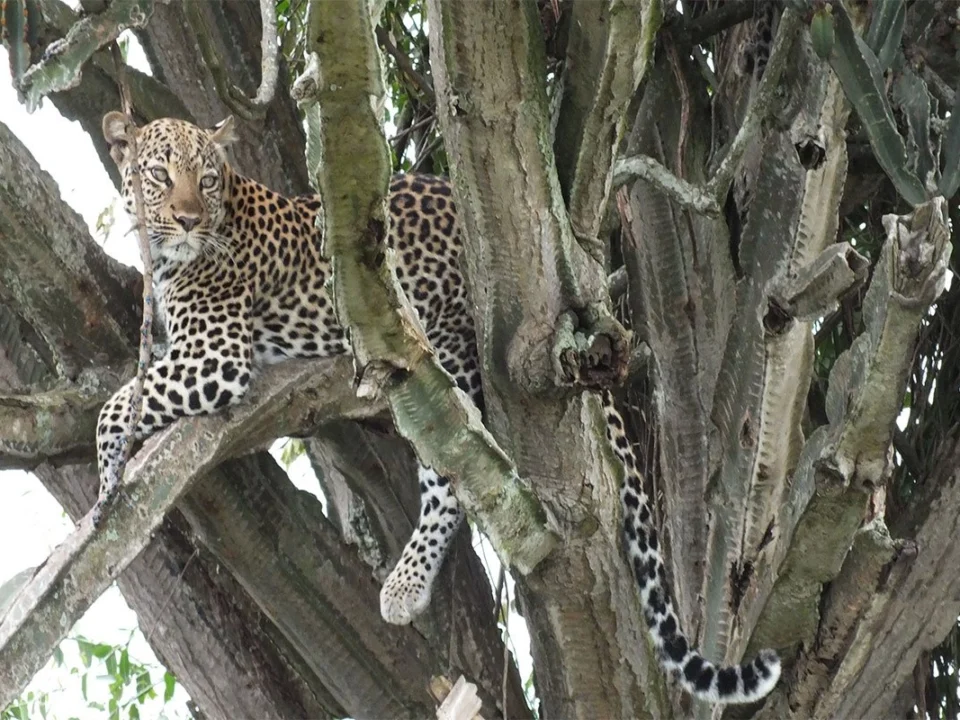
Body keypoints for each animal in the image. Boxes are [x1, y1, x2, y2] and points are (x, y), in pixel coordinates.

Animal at [94, 112, 781, 705]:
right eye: (160, 175)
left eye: (205, 178)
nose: (187, 219)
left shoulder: (217, 355)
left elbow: (113, 405)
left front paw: (104, 491)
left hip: (445, 352)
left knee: (452, 476)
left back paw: (406, 583)